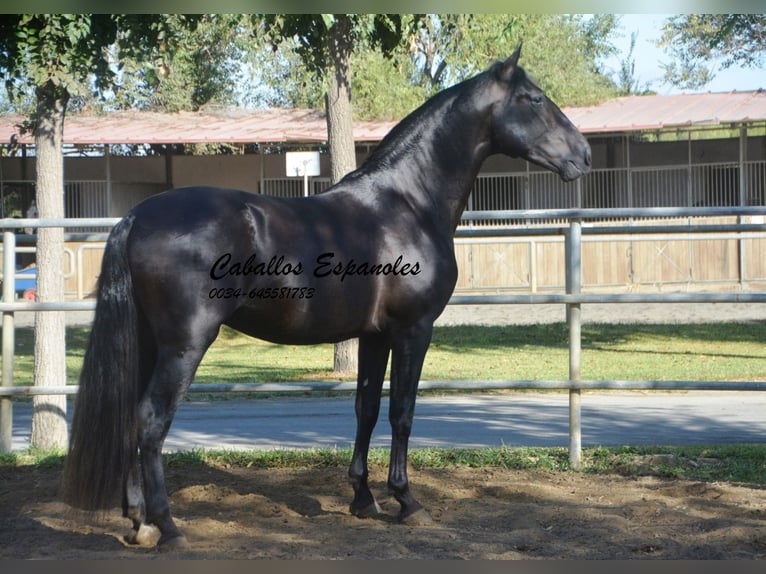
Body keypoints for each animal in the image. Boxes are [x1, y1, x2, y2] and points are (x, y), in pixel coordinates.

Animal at [63, 47, 592, 552]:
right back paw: (168, 527)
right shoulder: (414, 330)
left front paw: (363, 498)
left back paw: (138, 522)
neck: (408, 203)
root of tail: (137, 217)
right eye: (534, 99)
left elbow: (367, 408)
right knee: (151, 422)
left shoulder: (375, 335)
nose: (584, 155)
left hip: (149, 344)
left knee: (131, 418)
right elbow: (402, 412)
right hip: (184, 345)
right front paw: (407, 501)